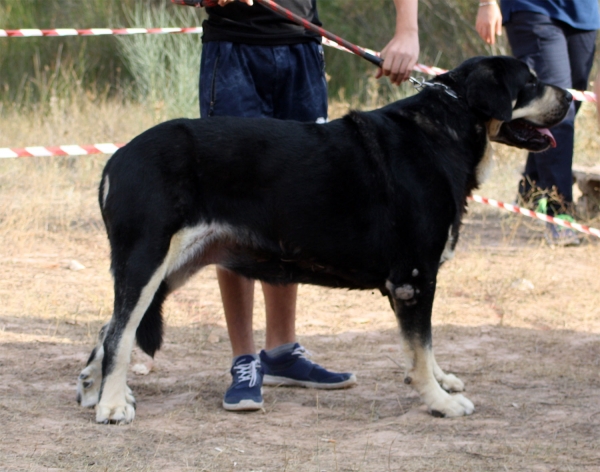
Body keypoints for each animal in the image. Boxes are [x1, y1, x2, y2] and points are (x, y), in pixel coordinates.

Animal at [76, 56, 572, 424]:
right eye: (530, 82)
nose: (570, 96)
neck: (447, 129)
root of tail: (116, 159)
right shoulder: (414, 279)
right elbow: (419, 348)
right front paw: (439, 401)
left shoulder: (417, 281)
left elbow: (426, 347)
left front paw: (443, 380)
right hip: (147, 259)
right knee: (120, 333)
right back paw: (113, 405)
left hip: (171, 268)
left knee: (110, 327)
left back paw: (95, 390)